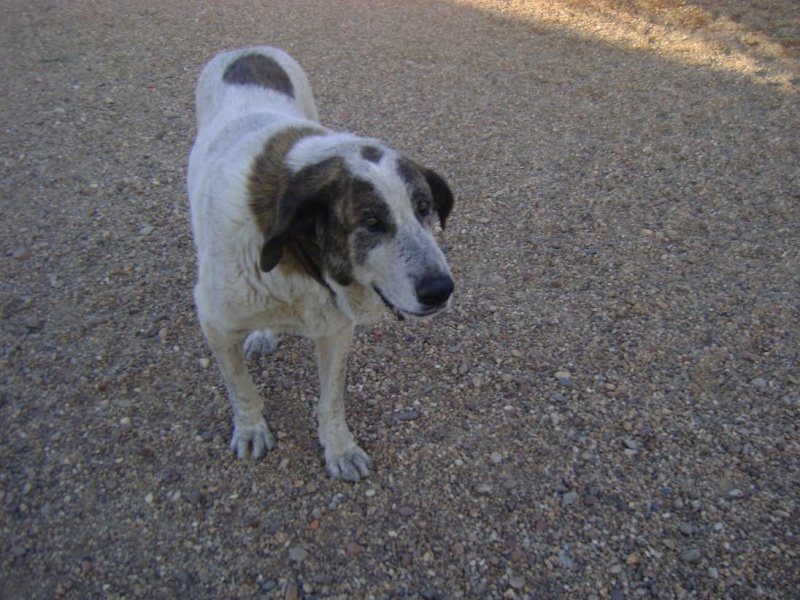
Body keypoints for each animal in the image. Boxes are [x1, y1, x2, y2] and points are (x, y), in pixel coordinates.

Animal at [184, 47, 454, 480]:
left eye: (424, 207)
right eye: (371, 222)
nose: (441, 290)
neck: (298, 254)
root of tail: (248, 48)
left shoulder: (335, 329)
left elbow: (331, 401)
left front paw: (339, 450)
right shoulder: (214, 323)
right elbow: (241, 388)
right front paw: (251, 428)